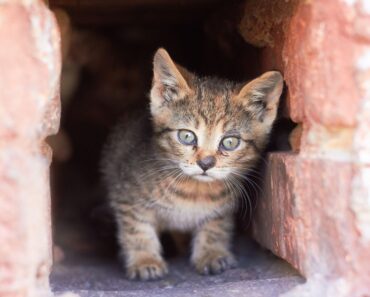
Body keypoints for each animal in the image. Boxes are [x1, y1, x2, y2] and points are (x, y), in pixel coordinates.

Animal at [101, 47, 284, 278]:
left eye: (230, 142)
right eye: (187, 136)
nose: (205, 163)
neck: (194, 191)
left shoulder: (223, 208)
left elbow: (215, 227)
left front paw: (211, 254)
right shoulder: (126, 195)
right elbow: (136, 229)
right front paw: (145, 260)